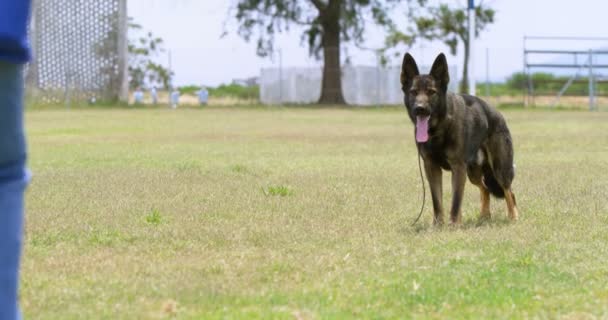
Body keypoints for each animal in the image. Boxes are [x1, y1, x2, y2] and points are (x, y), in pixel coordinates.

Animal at [404, 52, 516, 224]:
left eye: (431, 92)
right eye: (414, 92)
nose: (419, 109)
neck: (439, 128)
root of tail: (498, 114)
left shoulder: (457, 167)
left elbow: (456, 201)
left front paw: (453, 224)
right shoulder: (431, 168)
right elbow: (437, 201)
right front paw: (438, 225)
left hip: (500, 169)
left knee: (509, 191)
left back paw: (512, 216)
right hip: (473, 173)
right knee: (485, 189)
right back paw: (484, 216)